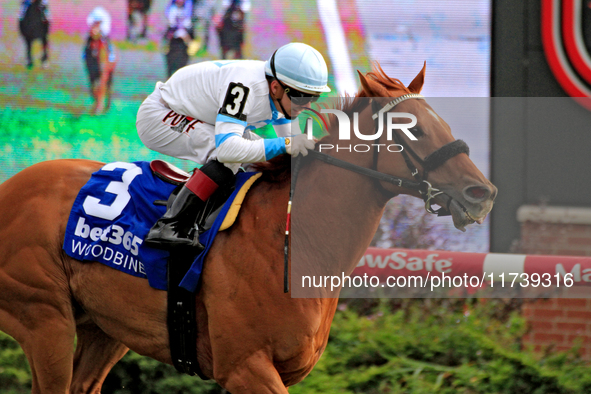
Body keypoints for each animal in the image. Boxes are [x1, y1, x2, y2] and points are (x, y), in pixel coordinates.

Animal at [0, 63, 498, 390]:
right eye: (413, 130)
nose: (482, 193)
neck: (293, 241)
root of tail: (11, 186)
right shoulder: (245, 367)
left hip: (104, 329)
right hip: (45, 319)